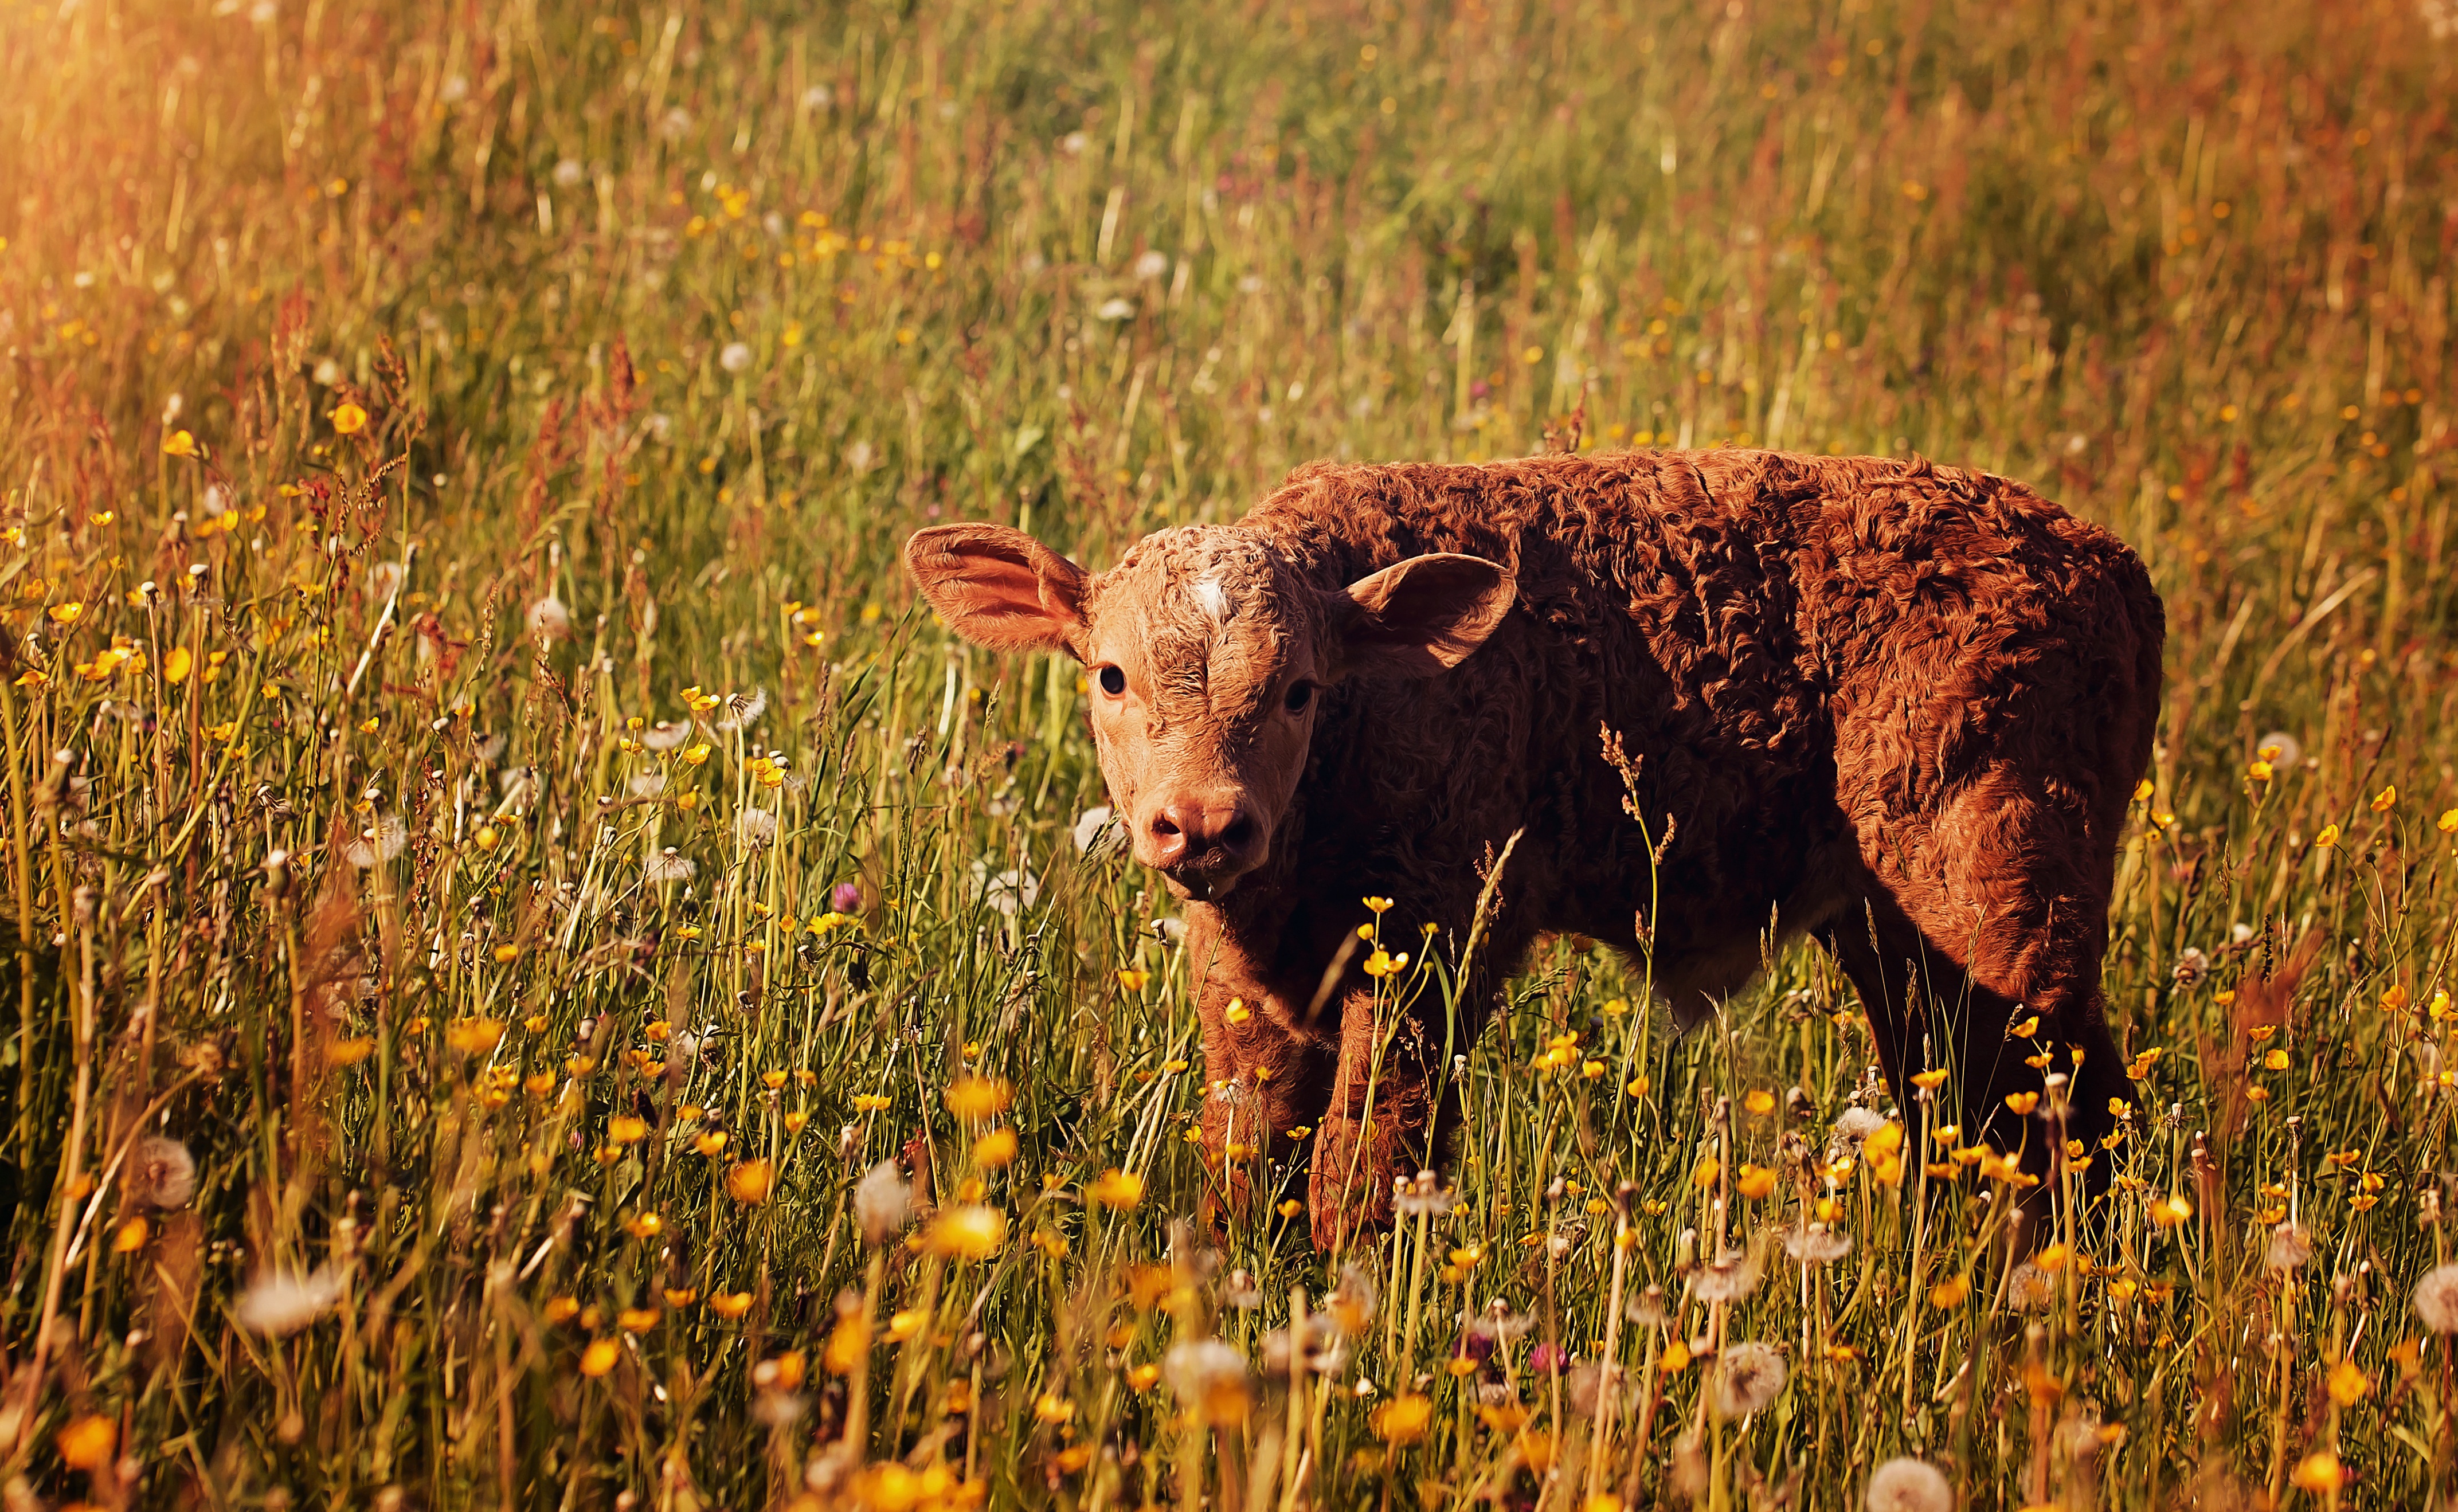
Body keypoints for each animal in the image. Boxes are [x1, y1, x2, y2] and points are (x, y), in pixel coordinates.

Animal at [904, 449, 2153, 1254]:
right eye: (1109, 675)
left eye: (1300, 688)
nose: (1205, 822)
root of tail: (2109, 567)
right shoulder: (1248, 987)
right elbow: (1243, 1162)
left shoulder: (1433, 949)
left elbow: (1364, 1170)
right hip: (1901, 937)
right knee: (1975, 1115)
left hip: (1997, 902)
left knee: (2055, 1119)